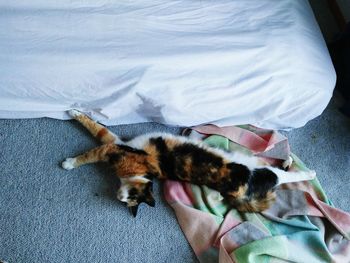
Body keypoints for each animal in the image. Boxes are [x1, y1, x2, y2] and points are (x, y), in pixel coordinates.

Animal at [61, 109, 316, 217]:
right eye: (127, 203)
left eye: (132, 197)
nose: (120, 196)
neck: (141, 173)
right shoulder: (118, 145)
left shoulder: (114, 146)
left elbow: (95, 134)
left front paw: (69, 161)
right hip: (259, 166)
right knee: (277, 169)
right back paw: (289, 160)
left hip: (262, 170)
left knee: (287, 176)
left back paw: (309, 173)